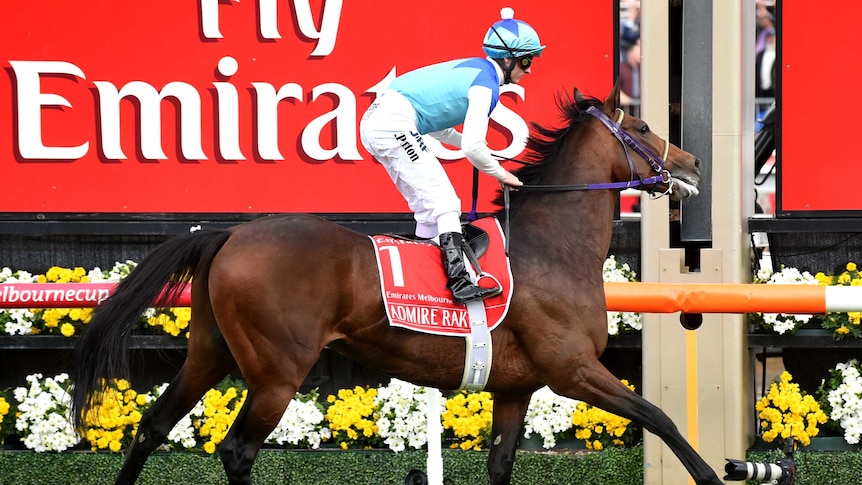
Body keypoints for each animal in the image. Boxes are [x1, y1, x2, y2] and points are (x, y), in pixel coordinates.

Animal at [67, 87, 720, 484]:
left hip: (211, 351)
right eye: (642, 125)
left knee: (153, 426)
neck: (552, 249)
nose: (692, 164)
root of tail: (230, 234)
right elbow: (660, 417)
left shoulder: (516, 387)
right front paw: (713, 475)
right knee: (236, 450)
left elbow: (501, 465)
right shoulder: (573, 369)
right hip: (277, 371)